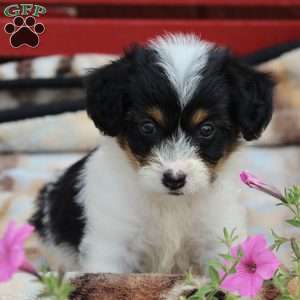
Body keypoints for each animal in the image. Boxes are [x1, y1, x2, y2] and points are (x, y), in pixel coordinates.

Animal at [31, 33, 274, 274]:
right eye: (148, 127)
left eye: (207, 129)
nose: (174, 179)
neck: (170, 205)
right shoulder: (111, 244)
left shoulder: (217, 237)